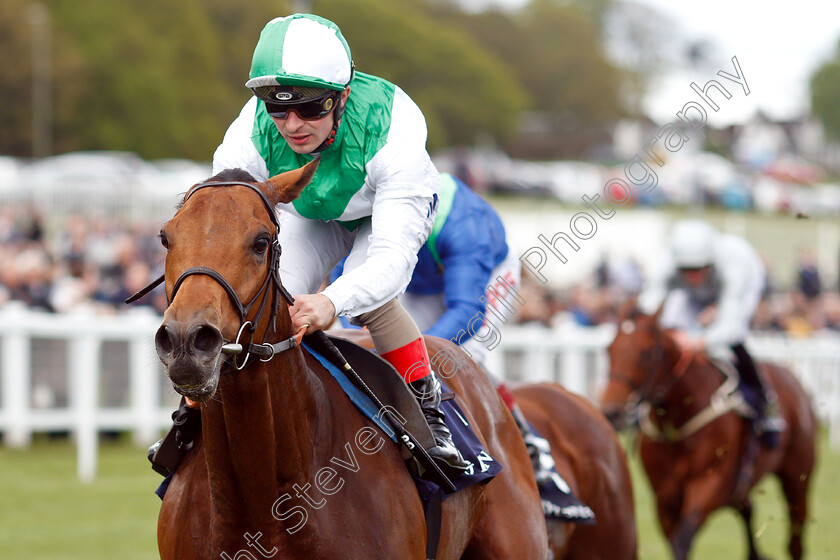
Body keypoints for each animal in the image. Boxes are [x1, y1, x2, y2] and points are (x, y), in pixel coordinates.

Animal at [600, 306, 816, 560]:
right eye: (609, 350)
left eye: (648, 354)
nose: (611, 413)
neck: (679, 425)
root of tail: (791, 375)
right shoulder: (664, 497)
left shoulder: (711, 482)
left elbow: (682, 540)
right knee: (747, 508)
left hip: (797, 477)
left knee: (795, 538)